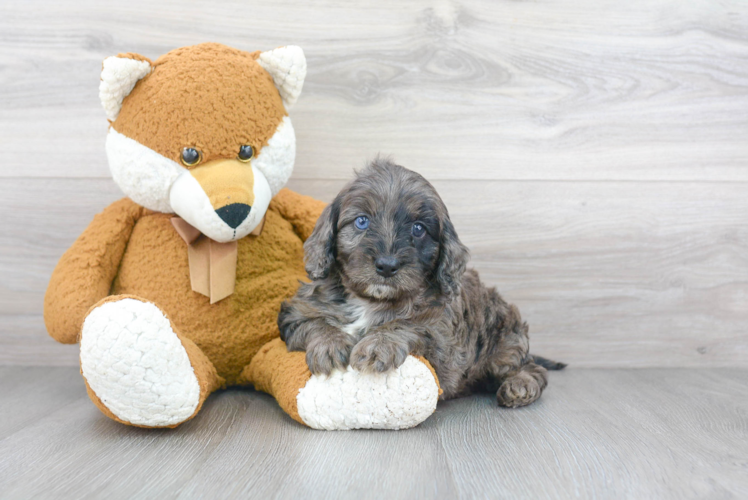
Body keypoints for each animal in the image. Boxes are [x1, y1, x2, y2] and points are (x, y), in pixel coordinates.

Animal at [278, 158, 564, 408]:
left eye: (418, 228)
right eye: (361, 221)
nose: (386, 265)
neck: (371, 300)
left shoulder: (442, 340)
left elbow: (410, 324)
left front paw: (378, 344)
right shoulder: (296, 313)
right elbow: (314, 322)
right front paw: (330, 343)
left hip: (505, 342)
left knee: (531, 367)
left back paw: (520, 386)